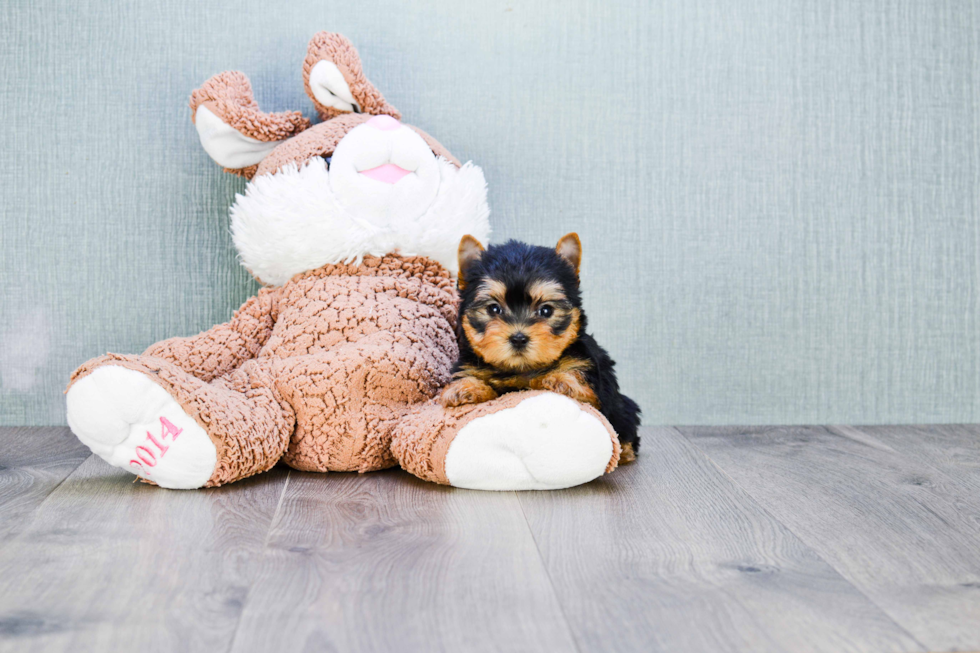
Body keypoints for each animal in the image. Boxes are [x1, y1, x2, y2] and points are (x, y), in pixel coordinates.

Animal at [442, 232, 644, 460]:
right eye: (494, 309)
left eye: (546, 310)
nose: (518, 338)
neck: (522, 369)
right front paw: (465, 388)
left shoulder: (590, 382)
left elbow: (582, 390)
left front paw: (562, 380)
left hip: (622, 408)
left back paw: (626, 451)